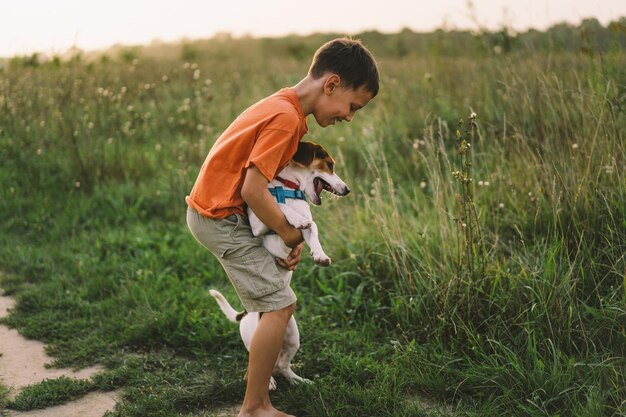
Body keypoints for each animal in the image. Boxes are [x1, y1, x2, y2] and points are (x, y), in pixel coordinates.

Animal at [208, 141, 346, 388]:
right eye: (329, 165)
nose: (347, 189)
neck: (288, 189)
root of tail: (245, 314)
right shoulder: (257, 225)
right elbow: (281, 209)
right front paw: (295, 218)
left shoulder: (305, 232)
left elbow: (313, 229)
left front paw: (320, 255)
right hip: (255, 338)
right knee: (256, 364)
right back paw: (269, 382)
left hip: (292, 336)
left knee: (281, 364)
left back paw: (298, 380)